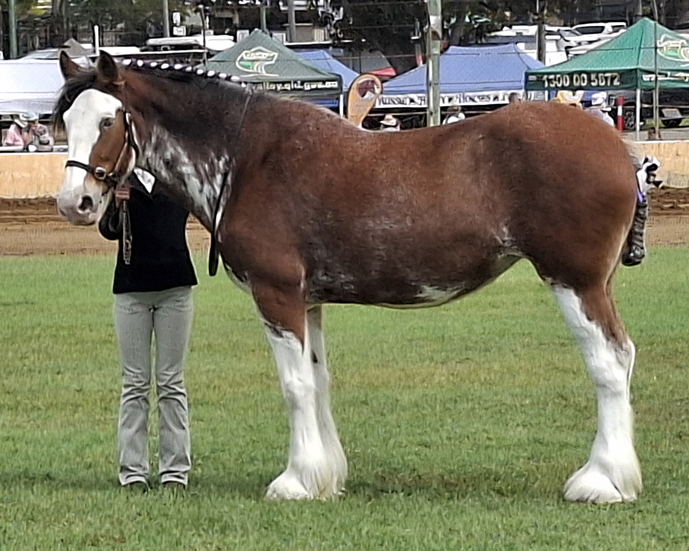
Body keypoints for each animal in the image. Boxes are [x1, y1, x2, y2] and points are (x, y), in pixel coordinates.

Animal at [55, 51, 651, 503]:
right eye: (64, 121)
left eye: (108, 120)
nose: (73, 202)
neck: (246, 157)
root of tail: (619, 148)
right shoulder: (308, 300)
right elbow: (318, 381)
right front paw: (325, 478)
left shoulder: (277, 294)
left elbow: (294, 386)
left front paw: (295, 482)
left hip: (574, 280)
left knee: (608, 363)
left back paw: (601, 482)